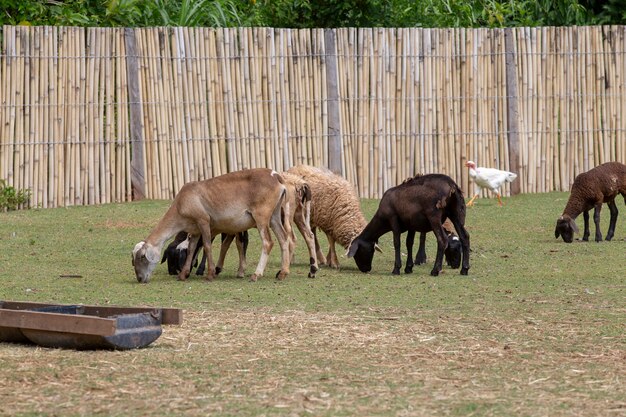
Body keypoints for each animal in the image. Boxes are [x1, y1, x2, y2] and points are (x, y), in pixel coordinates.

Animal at [133, 168, 288, 282]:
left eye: (142, 257)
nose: (140, 279)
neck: (180, 205)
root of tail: (275, 175)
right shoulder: (195, 230)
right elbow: (191, 249)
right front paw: (183, 275)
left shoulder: (203, 221)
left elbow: (207, 246)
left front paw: (210, 274)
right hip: (274, 216)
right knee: (284, 239)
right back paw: (283, 273)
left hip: (262, 216)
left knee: (268, 242)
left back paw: (257, 274)